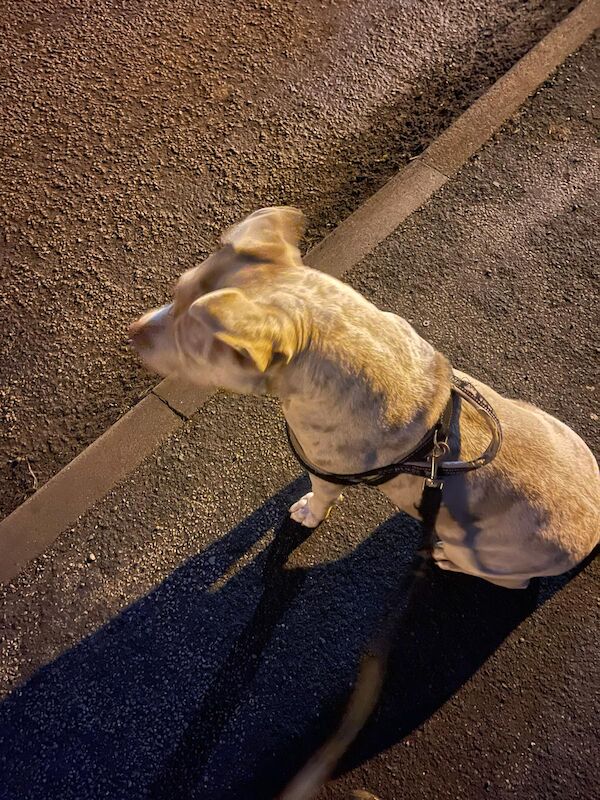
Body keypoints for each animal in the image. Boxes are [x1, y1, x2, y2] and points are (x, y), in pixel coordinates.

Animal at [131, 206, 600, 592]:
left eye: (192, 349)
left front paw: (306, 512)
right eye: (174, 291)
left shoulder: (325, 472)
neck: (330, 328)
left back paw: (448, 559)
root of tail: (594, 532)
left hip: (487, 556)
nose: (132, 333)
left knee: (507, 581)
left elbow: (318, 497)